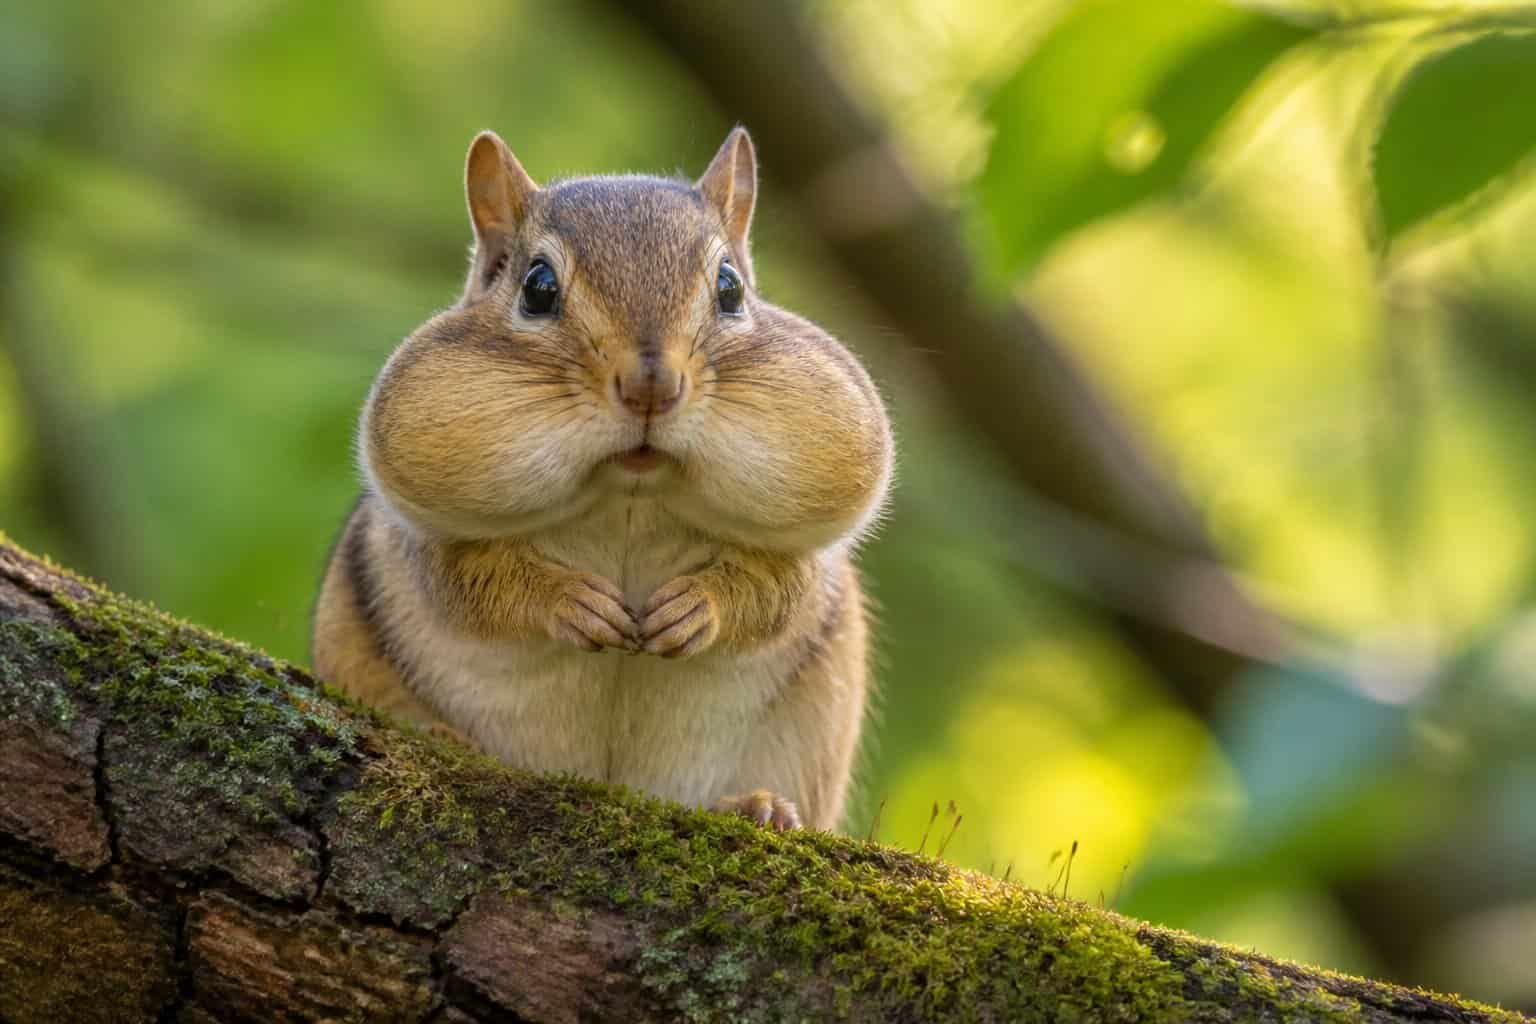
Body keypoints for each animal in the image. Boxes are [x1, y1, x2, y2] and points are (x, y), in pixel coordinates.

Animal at [312, 127, 893, 831]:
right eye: (537, 288)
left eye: (730, 289)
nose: (651, 384)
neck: (630, 495)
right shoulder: (425, 539)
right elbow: (472, 583)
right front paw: (570, 601)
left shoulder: (799, 559)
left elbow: (773, 593)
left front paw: (697, 606)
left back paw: (757, 805)